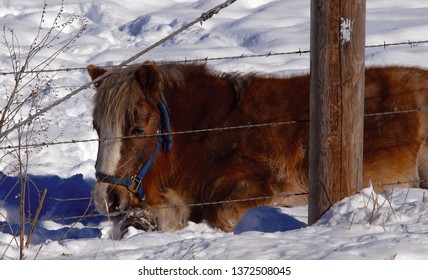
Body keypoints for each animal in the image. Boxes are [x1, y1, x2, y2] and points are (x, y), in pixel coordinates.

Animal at [87, 62, 428, 233]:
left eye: (137, 129)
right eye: (96, 128)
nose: (105, 199)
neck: (209, 130)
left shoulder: (257, 185)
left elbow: (221, 215)